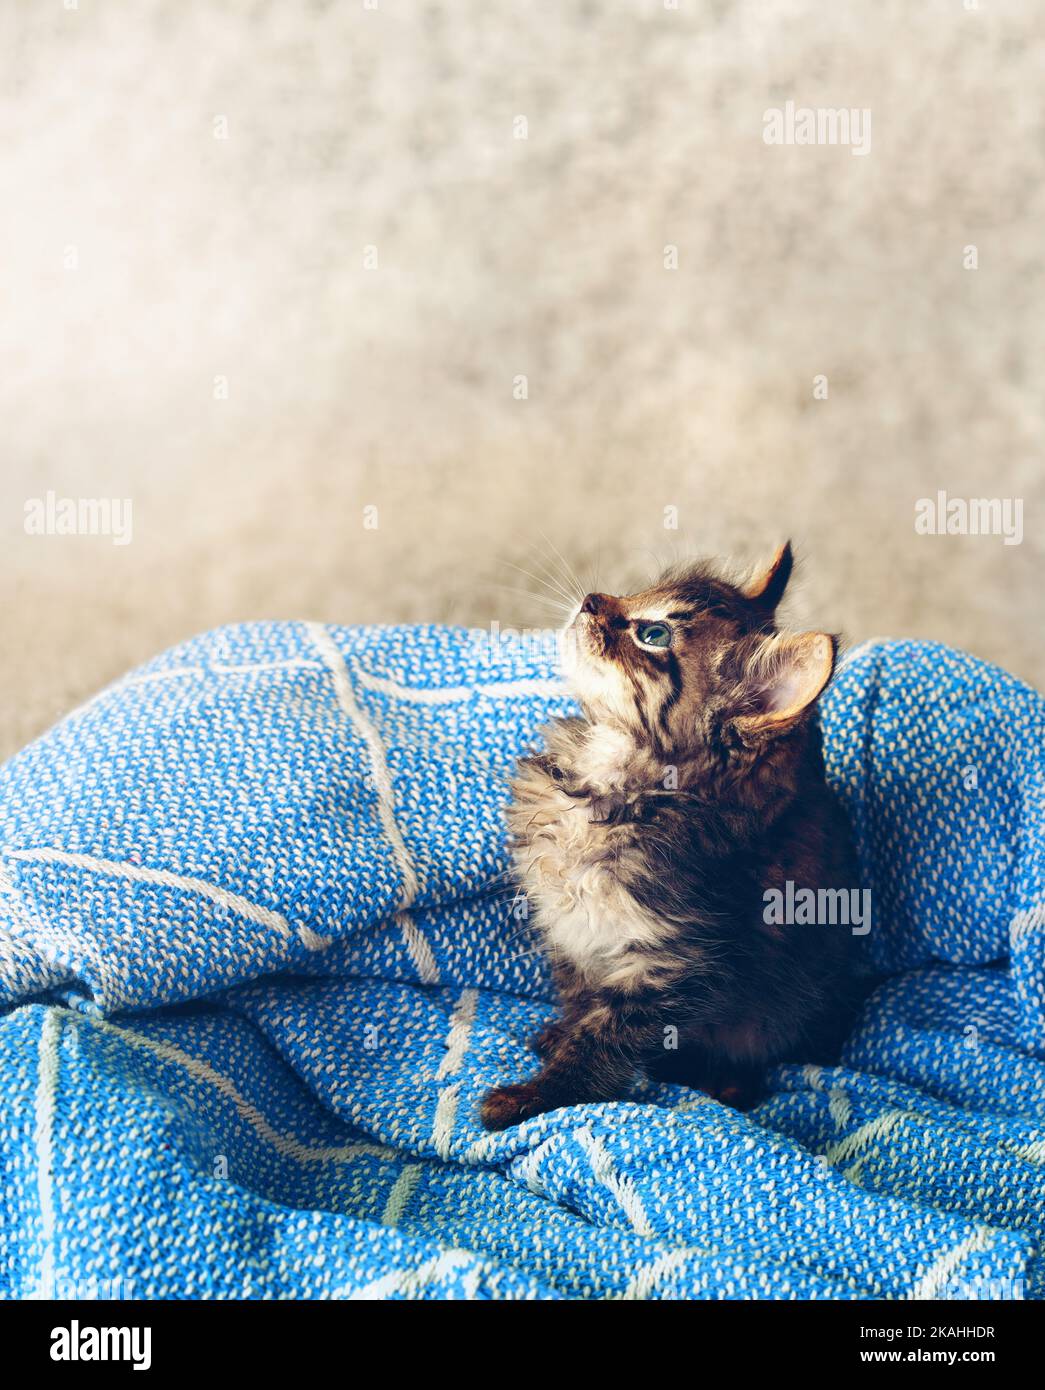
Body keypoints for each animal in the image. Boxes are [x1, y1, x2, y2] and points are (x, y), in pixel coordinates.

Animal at [480, 542, 856, 1128]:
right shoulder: (575, 939)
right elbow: (581, 1005)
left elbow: (602, 1039)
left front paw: (535, 1097)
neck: (608, 795)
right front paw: (558, 1038)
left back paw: (726, 1084)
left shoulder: (671, 965)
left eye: (653, 634)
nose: (592, 599)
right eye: (637, 593)